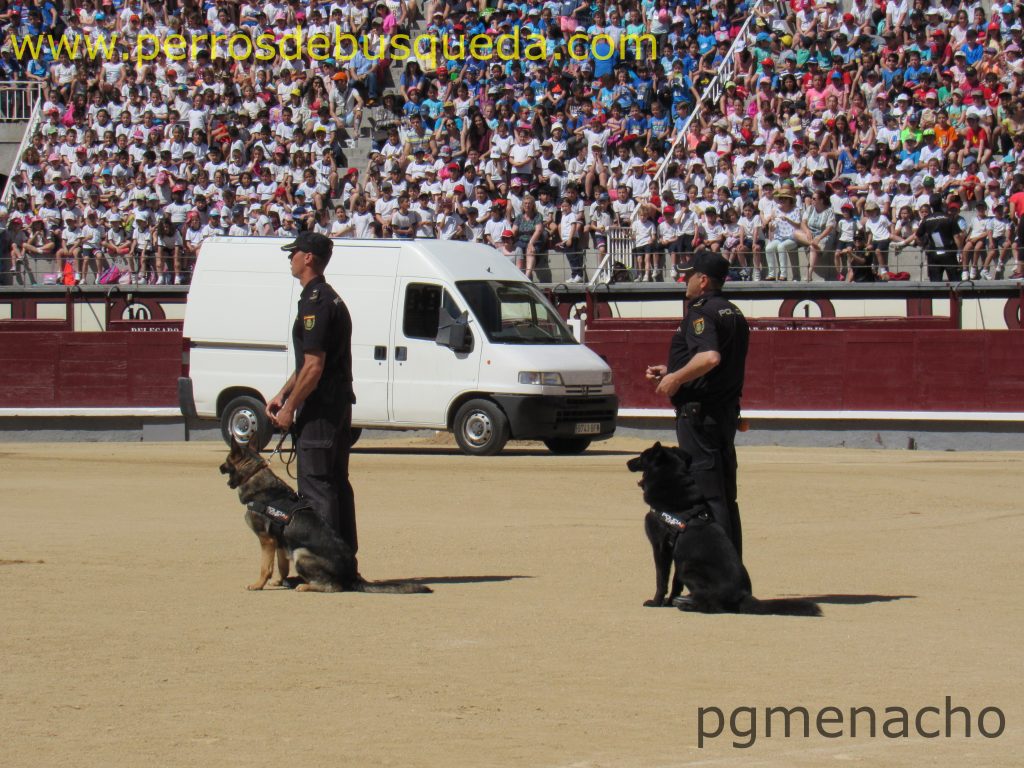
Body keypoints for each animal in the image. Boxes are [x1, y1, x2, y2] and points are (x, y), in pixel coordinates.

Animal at [220, 438, 432, 593]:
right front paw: (278, 582)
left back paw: (305, 586)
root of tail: (351, 575)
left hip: (301, 553)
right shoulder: (279, 542)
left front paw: (258, 584)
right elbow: (281, 566)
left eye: (227, 461)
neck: (254, 475)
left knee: (333, 587)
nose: (219, 468)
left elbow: (266, 567)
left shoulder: (266, 540)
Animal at [618, 444, 819, 618]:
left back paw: (690, 606)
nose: (627, 462)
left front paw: (656, 602)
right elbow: (675, 583)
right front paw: (668, 602)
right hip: (685, 566)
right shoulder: (677, 555)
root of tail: (743, 595)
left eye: (642, 456)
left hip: (688, 568)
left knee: (715, 607)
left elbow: (662, 579)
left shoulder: (661, 548)